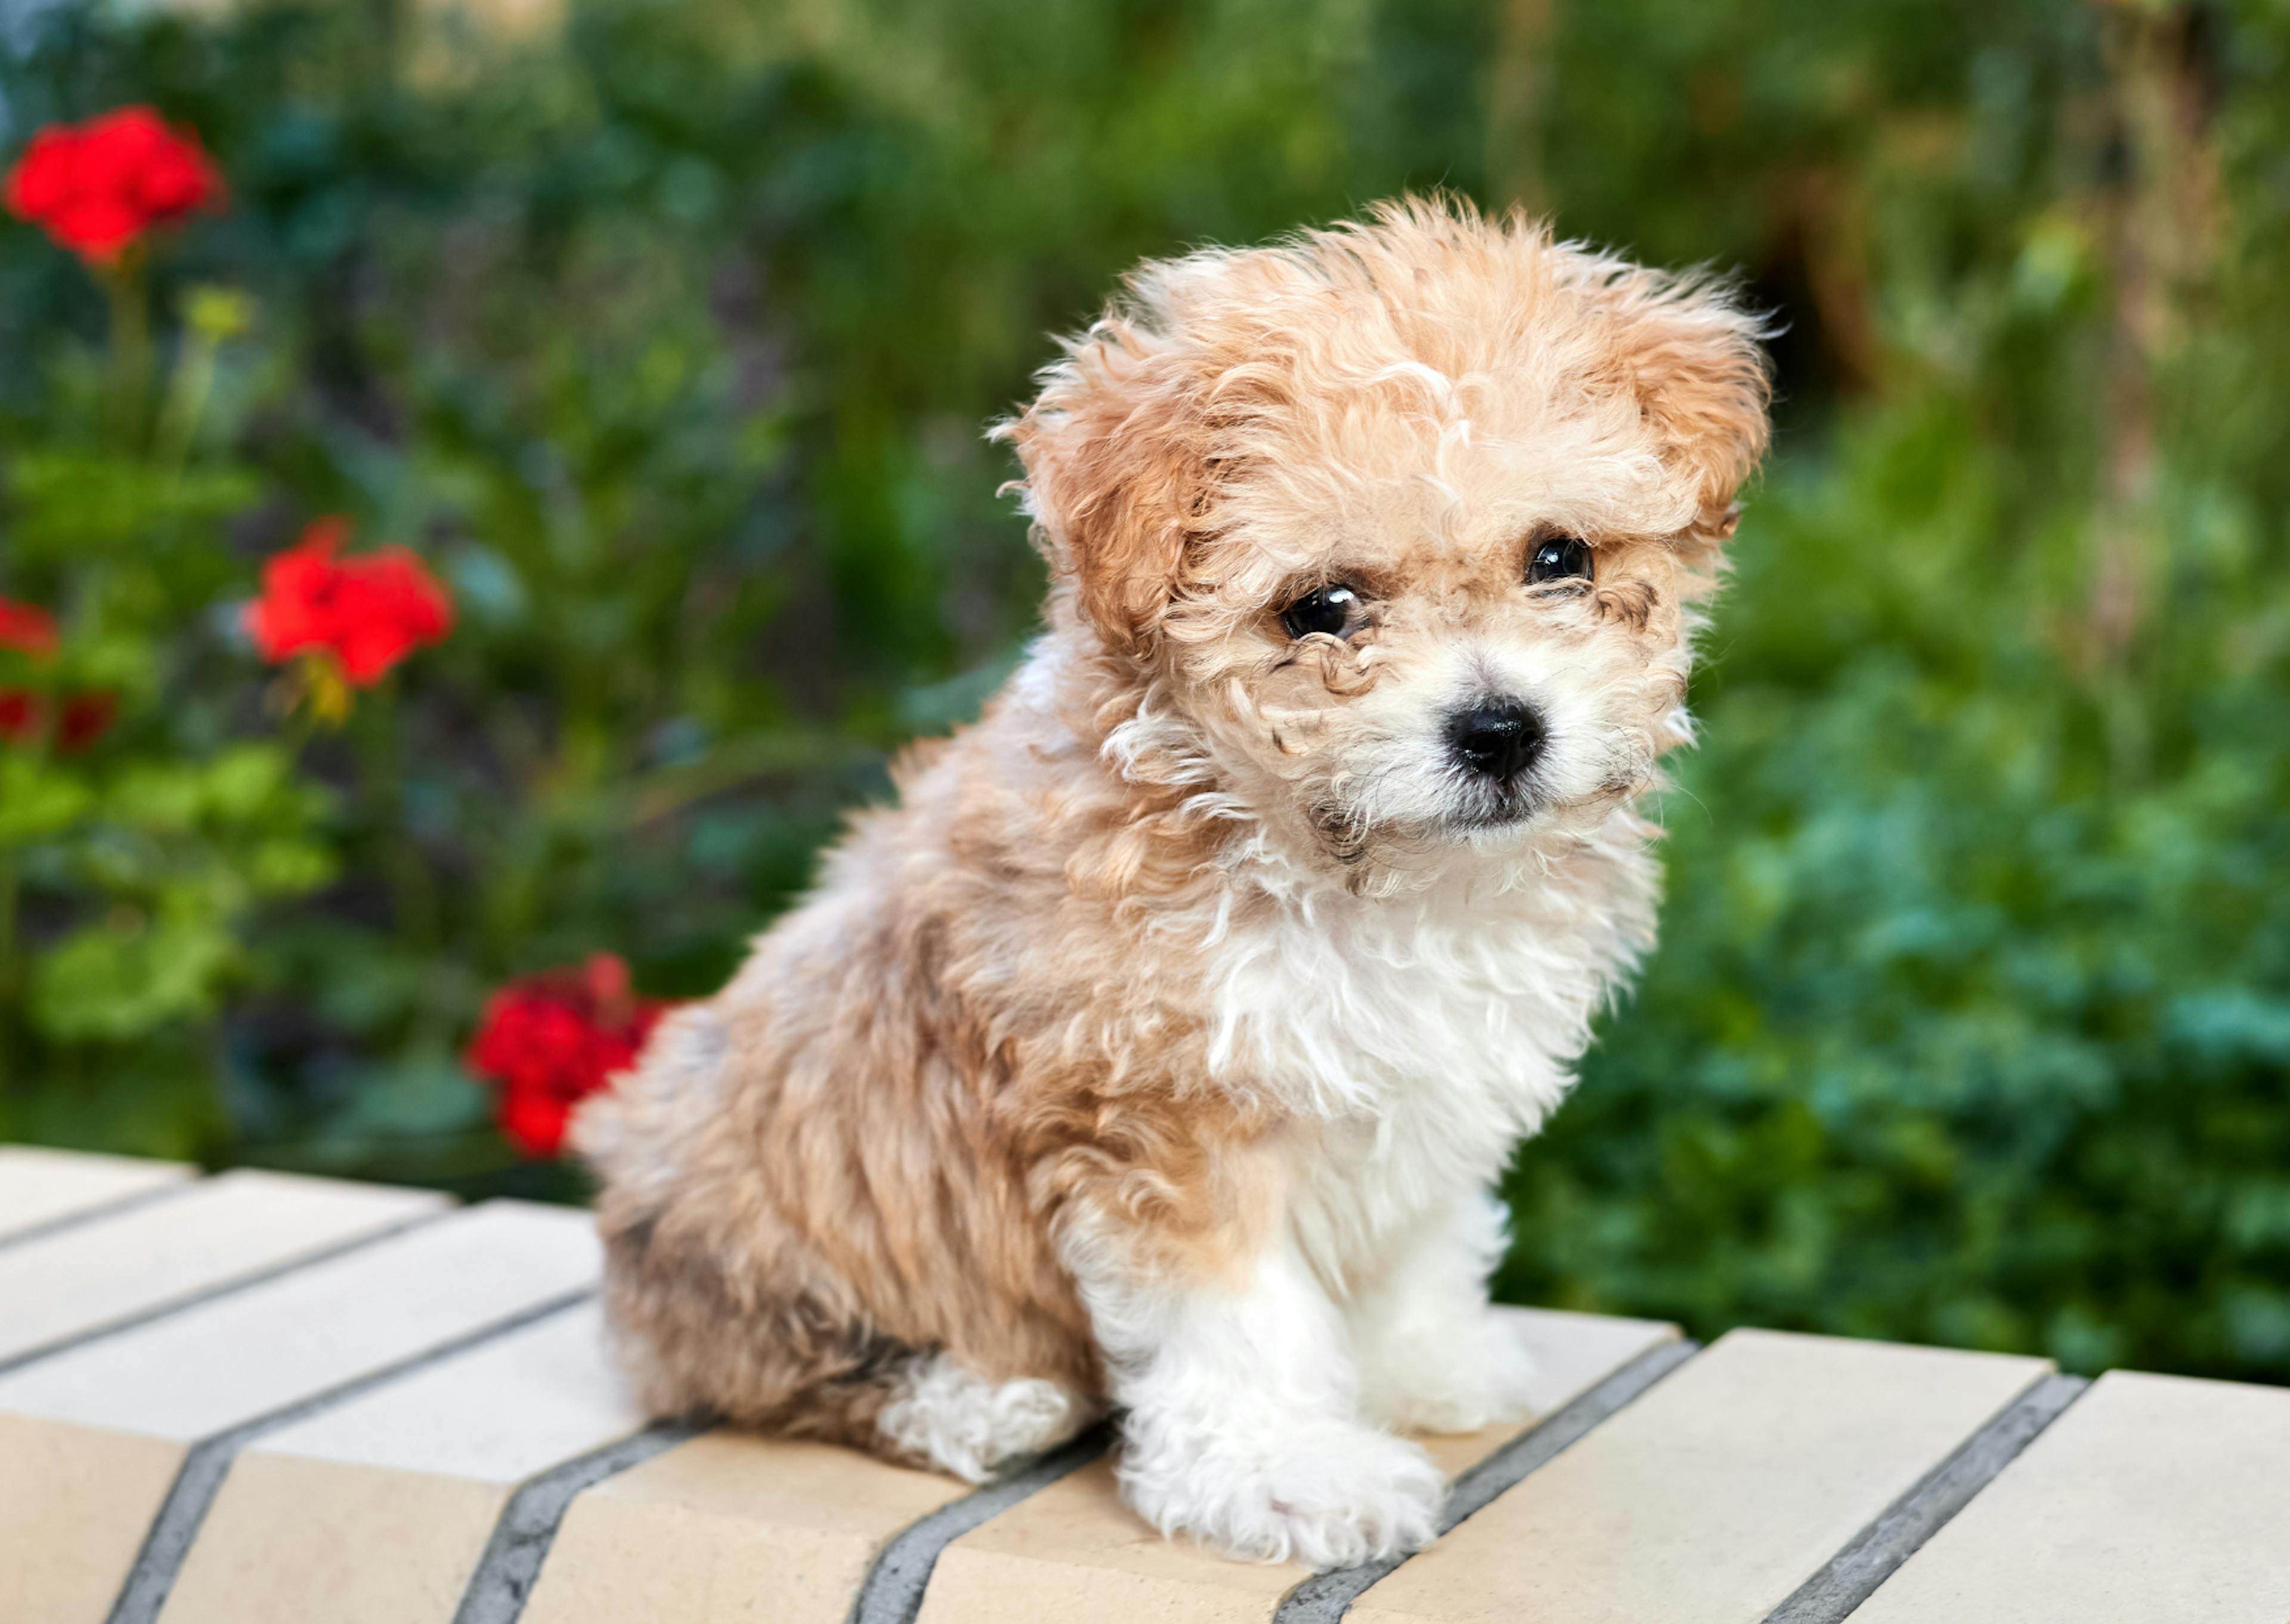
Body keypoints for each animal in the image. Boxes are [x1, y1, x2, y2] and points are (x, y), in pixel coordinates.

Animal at [577, 196, 1768, 1566]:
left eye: (1560, 554)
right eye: (1322, 608)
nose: (1499, 729)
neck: (1354, 871)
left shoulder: (1433, 1079)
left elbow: (1418, 1238)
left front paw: (1426, 1366)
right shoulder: (1163, 1114)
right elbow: (1237, 1317)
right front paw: (1288, 1473)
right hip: (756, 1226)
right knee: (768, 1368)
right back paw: (976, 1402)